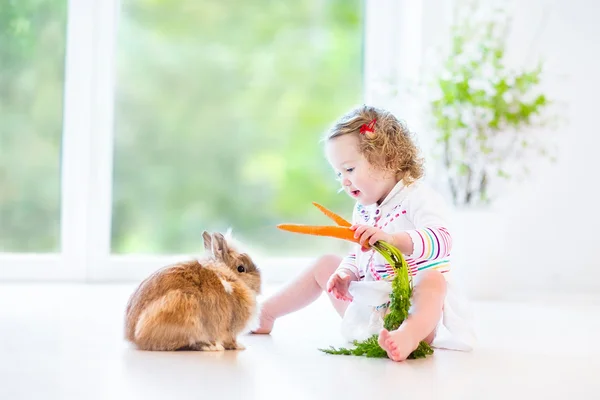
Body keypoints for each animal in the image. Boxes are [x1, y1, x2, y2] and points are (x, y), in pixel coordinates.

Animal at [123, 231, 260, 350]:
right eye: (241, 268)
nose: (259, 282)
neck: (227, 277)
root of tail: (133, 337)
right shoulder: (230, 329)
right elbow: (231, 340)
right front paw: (239, 347)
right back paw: (209, 347)